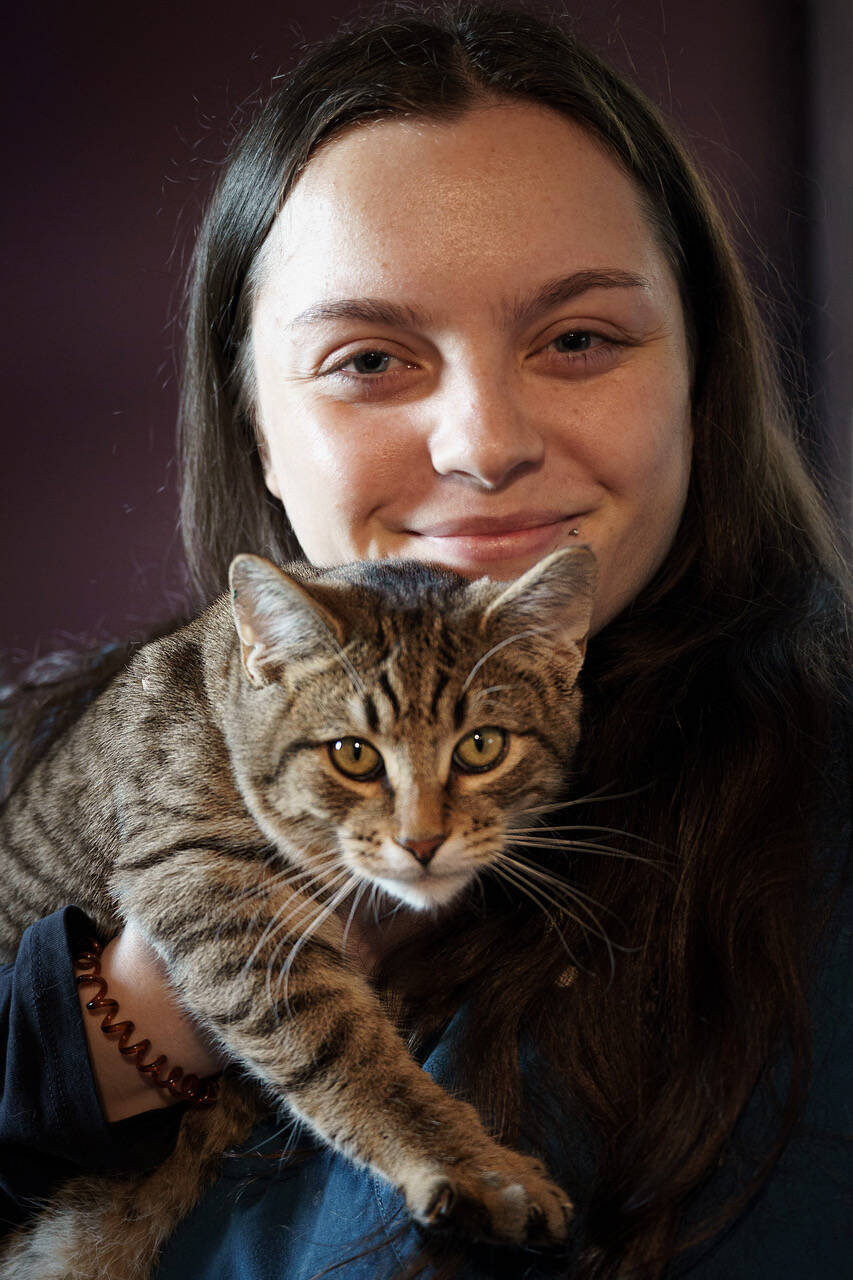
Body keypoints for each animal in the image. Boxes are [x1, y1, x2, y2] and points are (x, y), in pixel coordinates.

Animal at [0, 547, 591, 1280]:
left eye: (482, 746)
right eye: (353, 754)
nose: (422, 841)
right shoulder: (206, 877)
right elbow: (345, 1052)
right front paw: (471, 1168)